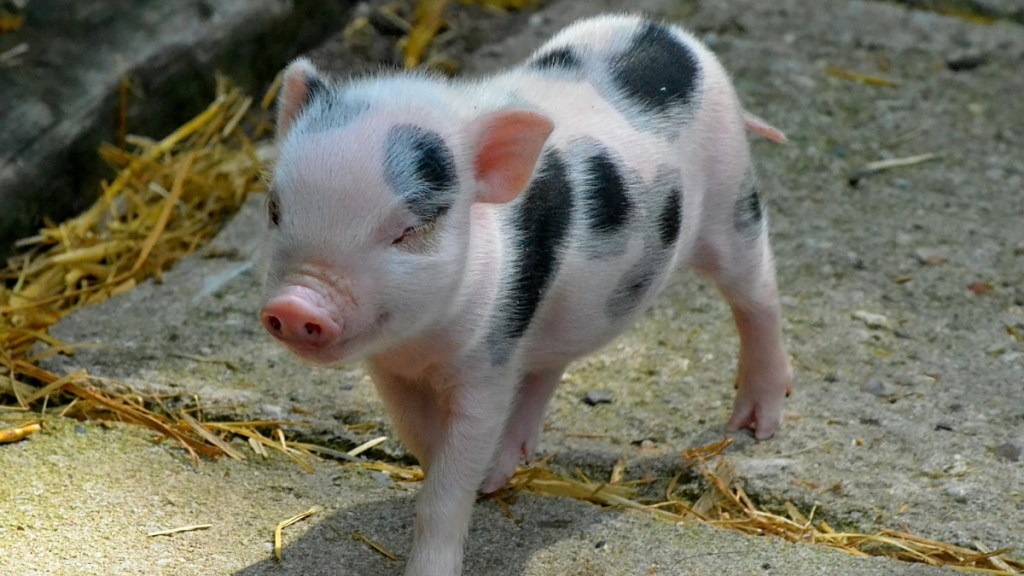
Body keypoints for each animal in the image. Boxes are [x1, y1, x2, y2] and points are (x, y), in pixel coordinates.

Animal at [260, 13, 793, 576]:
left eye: (407, 230)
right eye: (275, 209)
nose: (295, 304)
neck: (422, 343)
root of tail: (667, 32)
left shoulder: (487, 365)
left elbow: (449, 479)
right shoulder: (392, 370)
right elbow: (424, 440)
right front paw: (482, 476)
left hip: (732, 197)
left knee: (758, 292)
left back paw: (756, 425)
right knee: (548, 365)